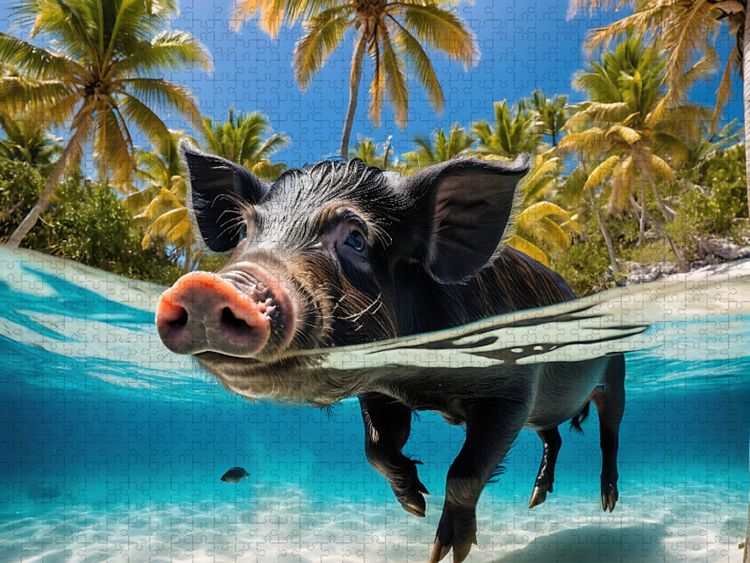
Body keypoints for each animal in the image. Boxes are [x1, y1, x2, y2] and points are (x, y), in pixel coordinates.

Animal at [156, 142, 626, 562]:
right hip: (550, 411)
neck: (420, 384)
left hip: (615, 371)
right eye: (245, 231)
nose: (204, 287)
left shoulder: (516, 384)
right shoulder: (380, 391)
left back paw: (607, 503)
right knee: (553, 436)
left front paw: (445, 552)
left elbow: (465, 470)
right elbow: (377, 448)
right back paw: (536, 499)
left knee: (608, 433)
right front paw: (415, 504)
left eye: (356, 238)